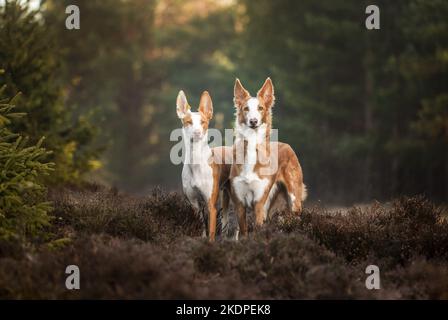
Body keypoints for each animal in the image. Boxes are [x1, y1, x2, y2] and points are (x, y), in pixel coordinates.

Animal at [176, 89, 231, 240]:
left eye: (203, 122)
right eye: (188, 122)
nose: (197, 133)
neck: (196, 162)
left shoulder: (211, 205)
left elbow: (211, 233)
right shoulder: (194, 204)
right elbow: (202, 228)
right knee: (226, 223)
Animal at [229, 79, 306, 236]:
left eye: (260, 108)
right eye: (246, 109)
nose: (253, 121)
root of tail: (287, 145)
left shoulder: (259, 203)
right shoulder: (239, 203)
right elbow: (243, 232)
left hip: (294, 199)